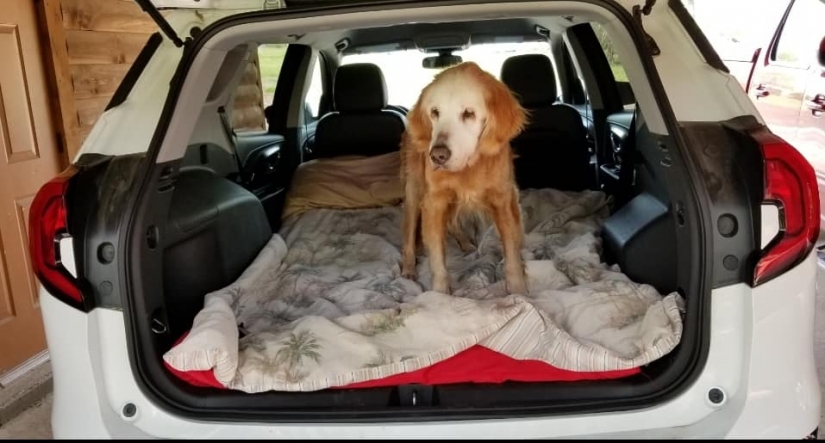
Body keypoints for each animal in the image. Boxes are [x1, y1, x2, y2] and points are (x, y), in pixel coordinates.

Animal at [400, 59, 528, 294]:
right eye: (435, 112)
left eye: (468, 113)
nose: (437, 155)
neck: (468, 167)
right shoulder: (434, 202)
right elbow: (437, 259)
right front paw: (440, 294)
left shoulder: (503, 199)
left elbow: (512, 250)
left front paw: (518, 289)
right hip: (413, 192)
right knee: (409, 236)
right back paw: (408, 269)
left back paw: (467, 244)